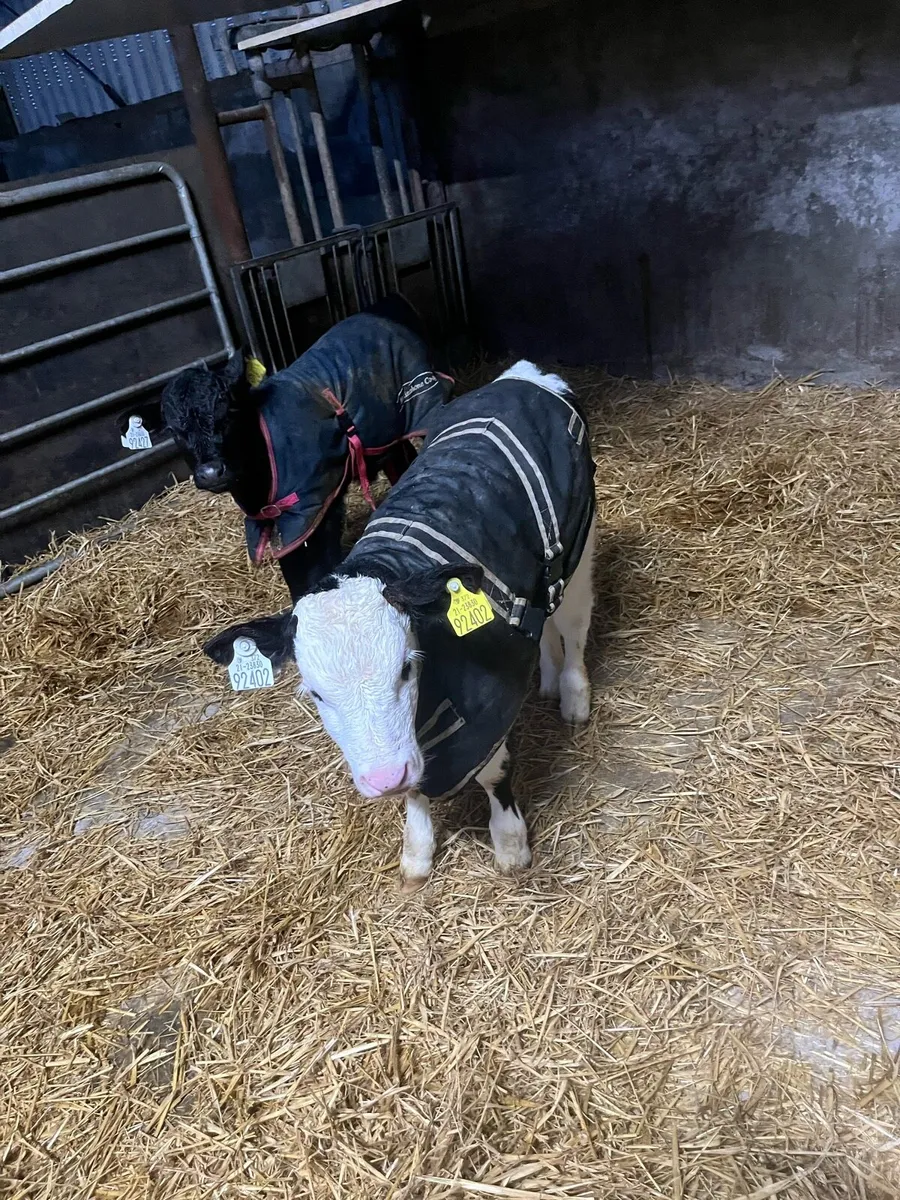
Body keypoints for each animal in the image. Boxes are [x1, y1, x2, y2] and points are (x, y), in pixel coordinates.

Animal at [117, 295, 452, 602]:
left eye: (229, 413)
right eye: (174, 431)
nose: (211, 472)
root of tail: (383, 304)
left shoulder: (312, 506)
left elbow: (310, 569)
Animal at [204, 361, 596, 889]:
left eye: (406, 669)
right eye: (316, 694)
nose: (382, 778)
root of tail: (525, 376)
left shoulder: (489, 699)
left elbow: (492, 772)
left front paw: (510, 844)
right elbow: (415, 790)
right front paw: (417, 851)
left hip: (578, 546)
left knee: (573, 625)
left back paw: (573, 696)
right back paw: (550, 681)